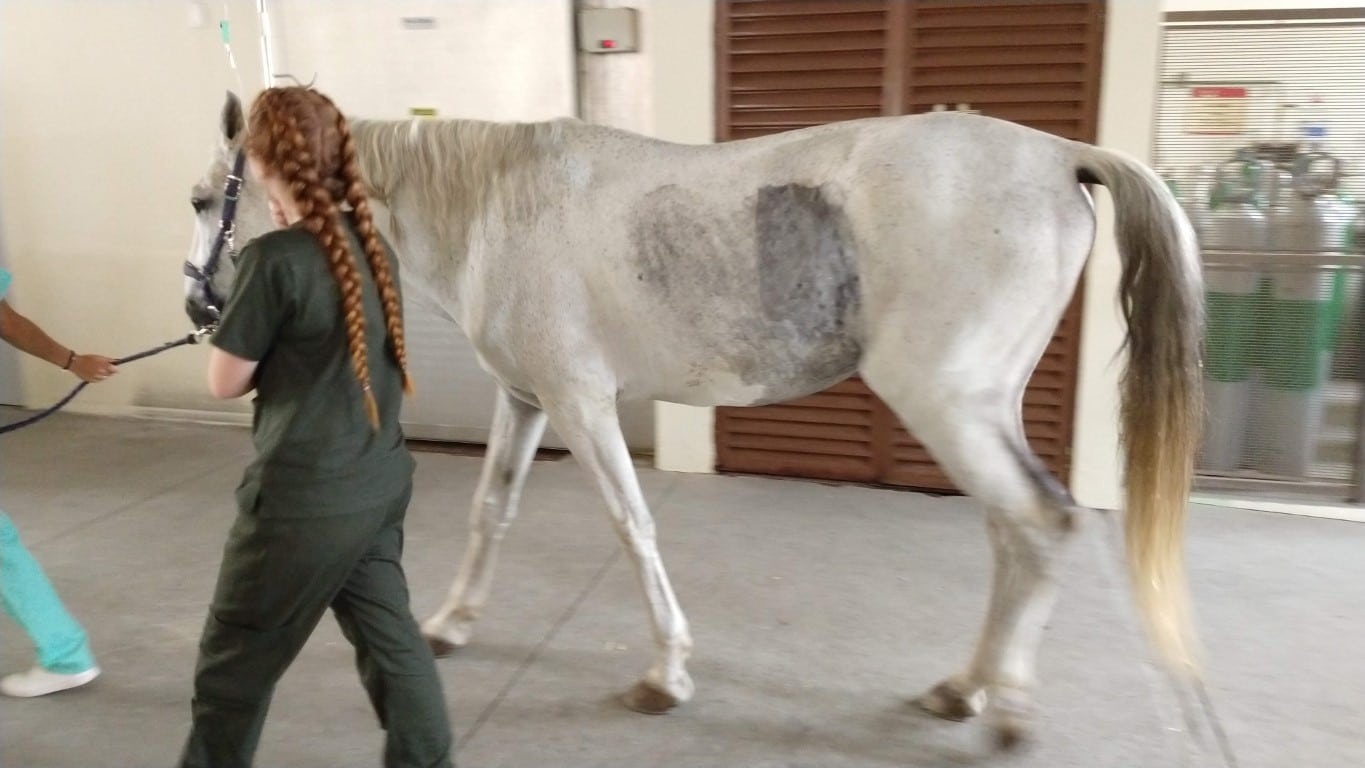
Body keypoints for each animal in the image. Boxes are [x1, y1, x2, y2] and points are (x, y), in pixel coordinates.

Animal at [184, 91, 1203, 746]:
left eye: (203, 198)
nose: (201, 309)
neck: (496, 206)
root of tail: (1058, 155)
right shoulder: (526, 402)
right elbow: (491, 512)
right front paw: (451, 624)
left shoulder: (580, 404)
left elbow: (632, 523)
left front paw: (665, 675)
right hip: (980, 412)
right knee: (1011, 534)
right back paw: (963, 690)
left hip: (948, 406)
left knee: (1043, 523)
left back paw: (1009, 709)